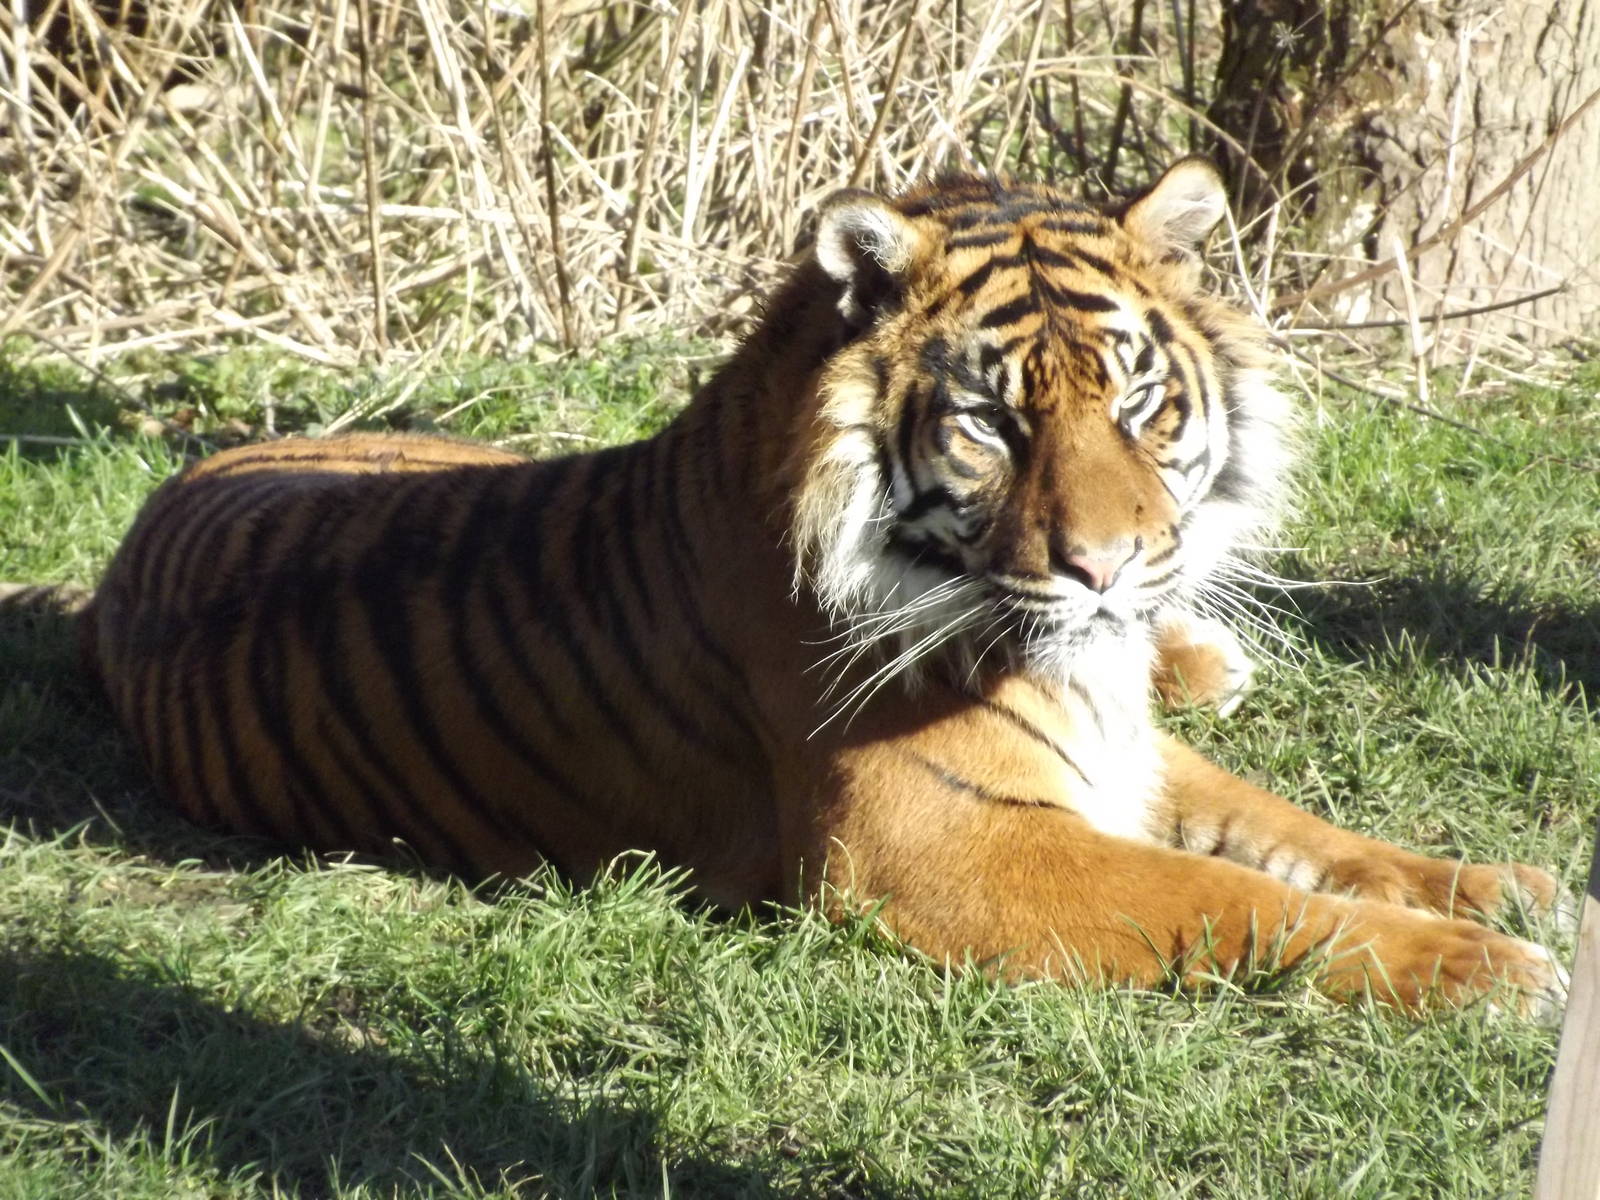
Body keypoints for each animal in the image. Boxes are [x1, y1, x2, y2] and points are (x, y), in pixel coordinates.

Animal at [83, 159, 1563, 1014]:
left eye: (1137, 400)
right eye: (993, 424)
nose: (1108, 569)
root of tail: (173, 490)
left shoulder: (1125, 754)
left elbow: (1306, 838)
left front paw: (1506, 890)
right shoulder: (951, 850)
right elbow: (1239, 897)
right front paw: (1494, 970)